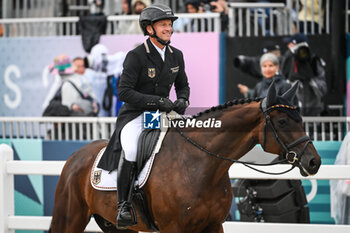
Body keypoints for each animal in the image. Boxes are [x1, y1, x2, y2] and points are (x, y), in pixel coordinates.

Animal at [49, 83, 320, 232]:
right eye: (282, 122)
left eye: (301, 120)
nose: (314, 162)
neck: (201, 165)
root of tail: (76, 157)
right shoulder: (174, 228)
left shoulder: (214, 226)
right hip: (69, 219)